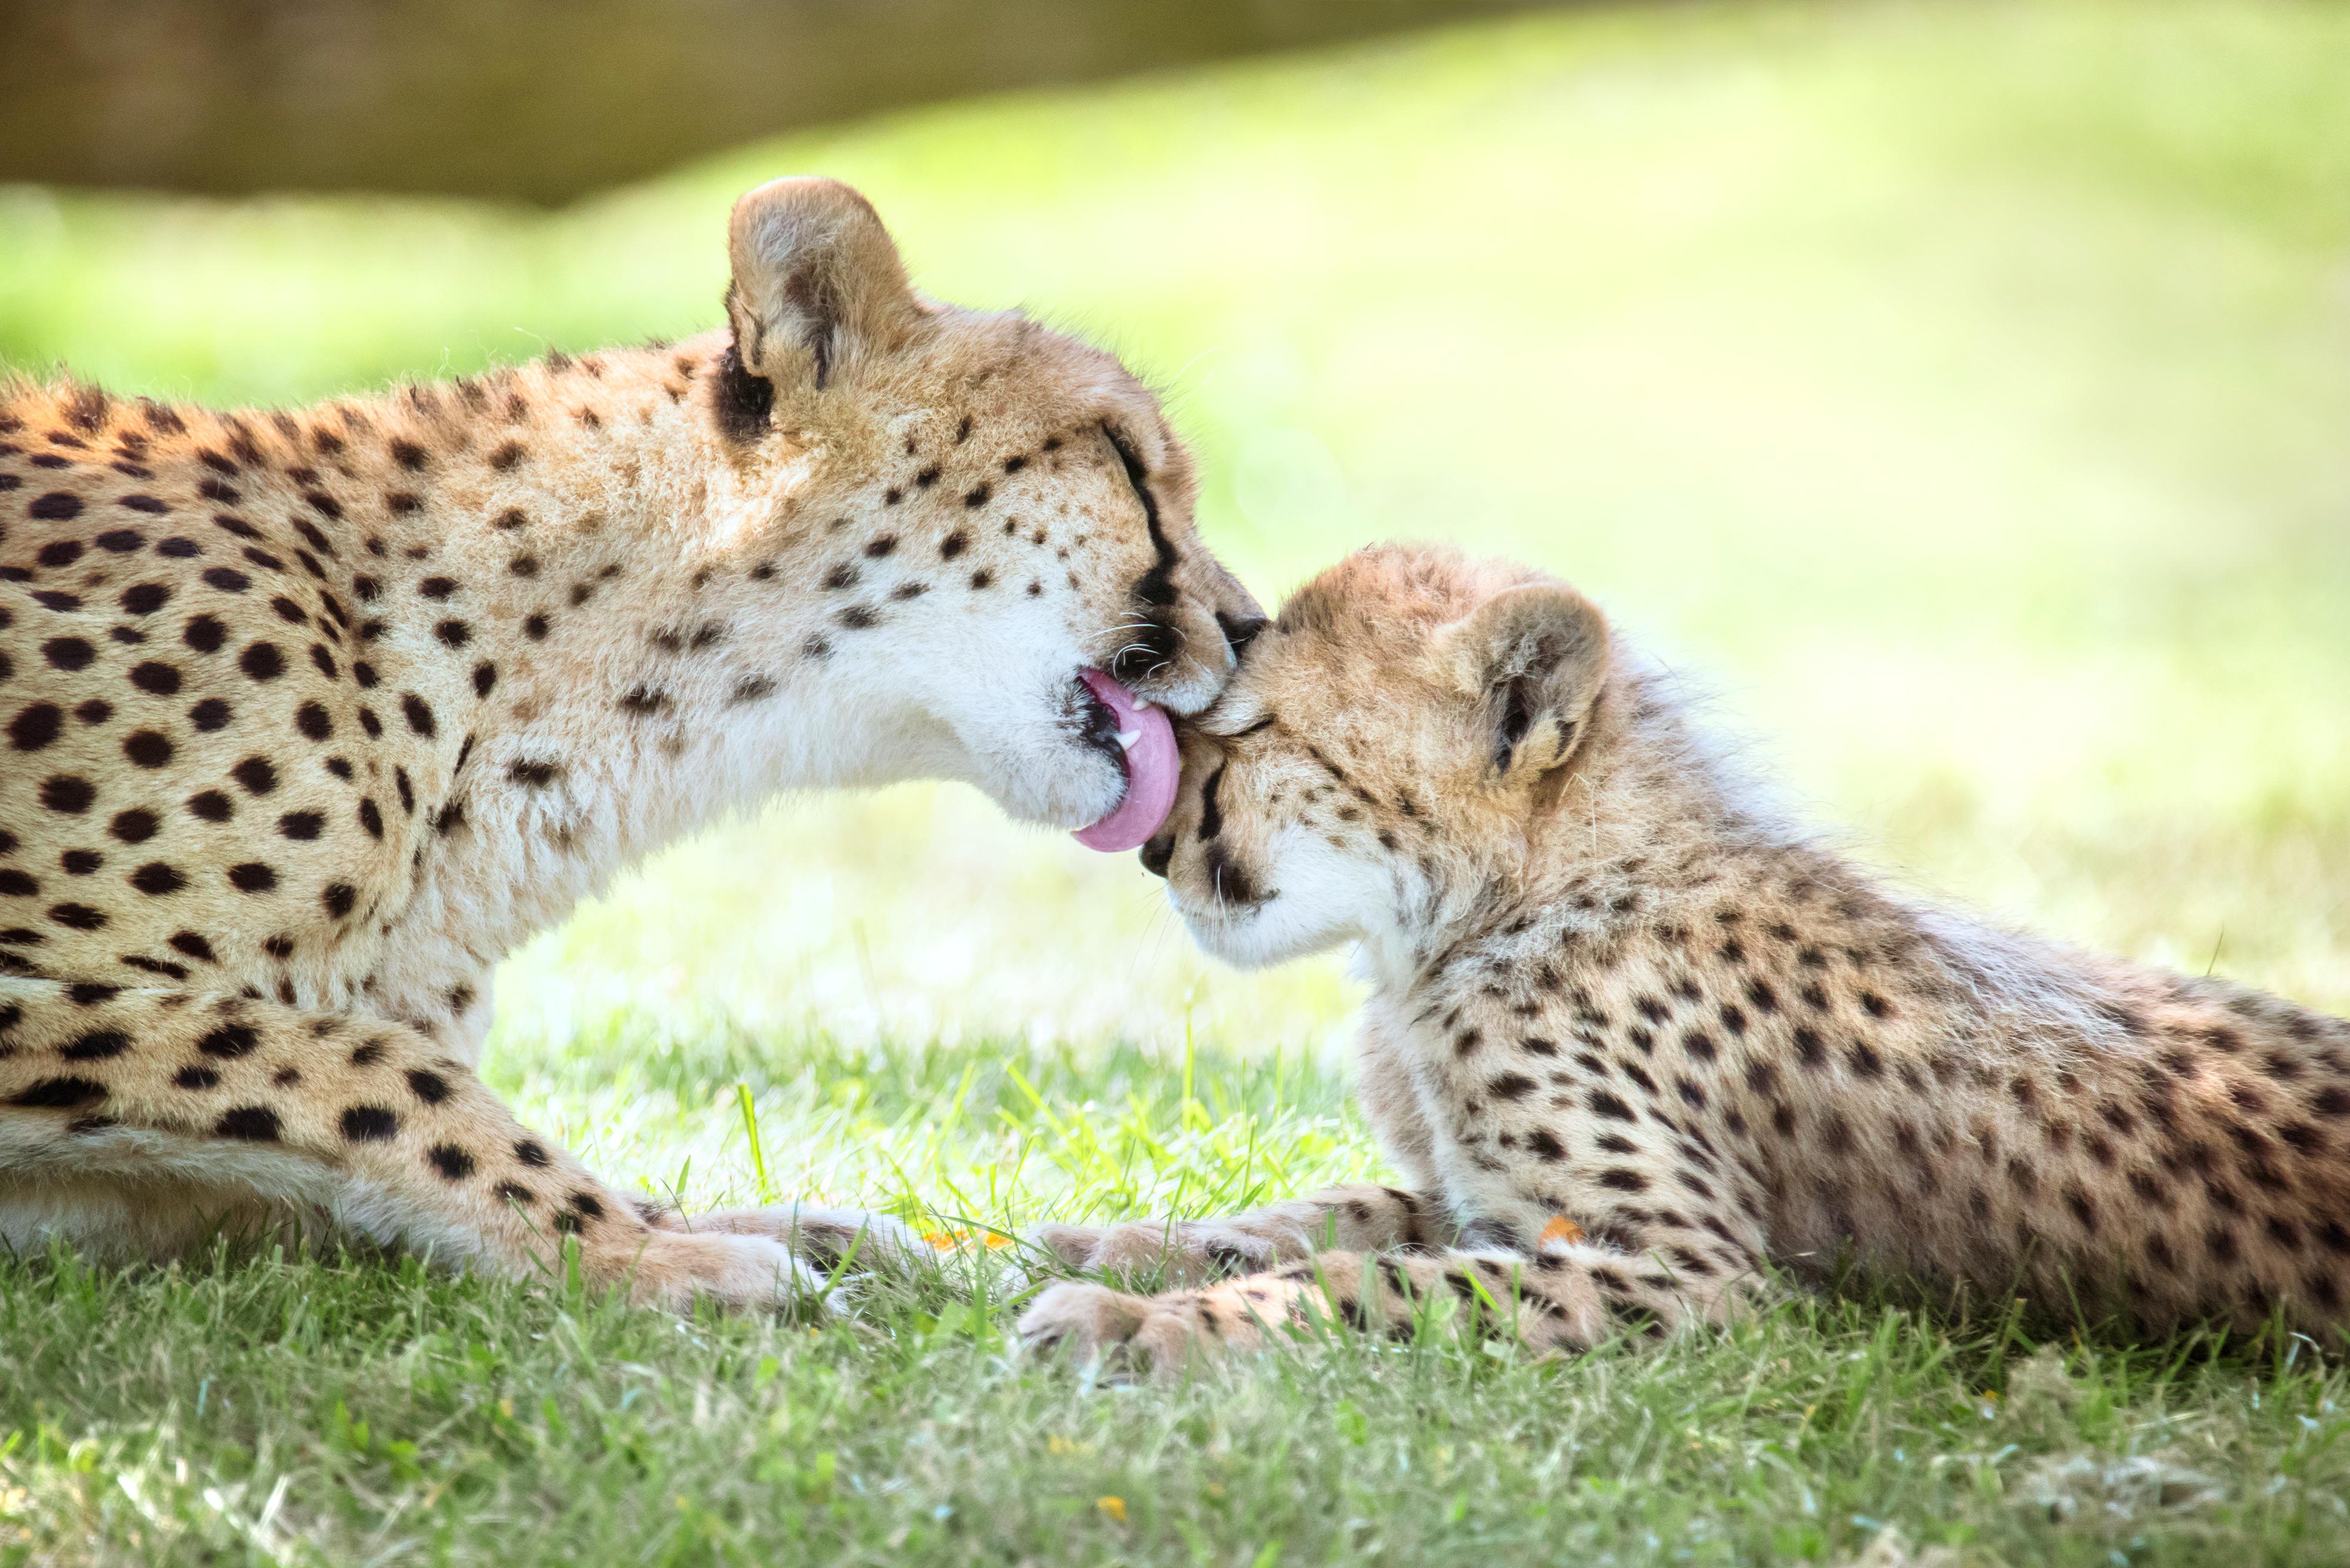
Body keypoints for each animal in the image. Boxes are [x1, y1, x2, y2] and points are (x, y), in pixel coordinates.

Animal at [1025, 545, 2350, 1363]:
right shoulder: (1489, 1194)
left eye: (1252, 729)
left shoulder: (1705, 1276)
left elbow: (1383, 1277)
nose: (1155, 852)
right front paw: (1118, 1242)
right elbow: (1349, 1208)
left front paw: (1140, 1323)